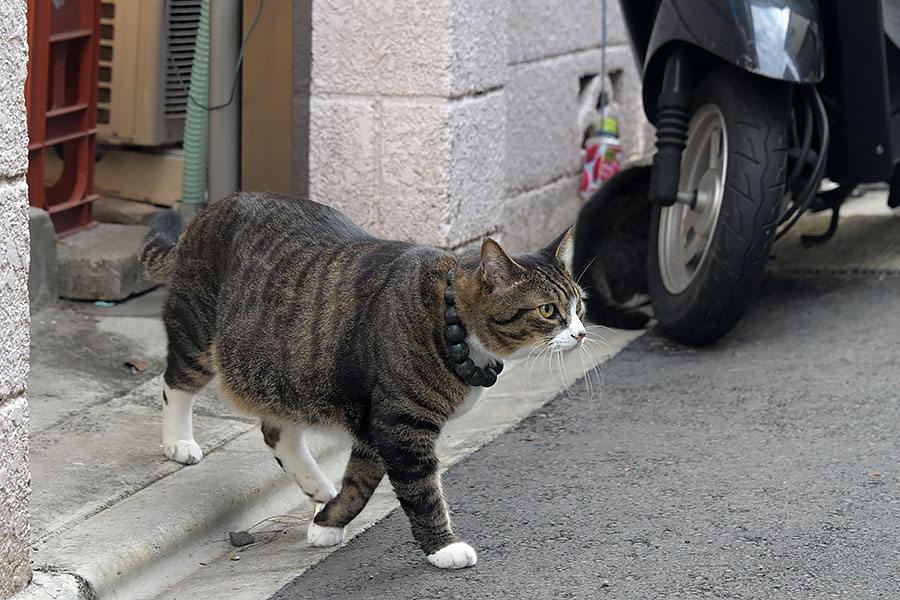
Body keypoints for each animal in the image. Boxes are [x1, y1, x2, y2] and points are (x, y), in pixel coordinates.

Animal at [139, 195, 592, 568]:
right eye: (549, 310)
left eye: (579, 306)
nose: (581, 333)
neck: (451, 321)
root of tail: (213, 207)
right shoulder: (399, 424)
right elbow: (421, 492)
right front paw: (444, 548)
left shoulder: (373, 422)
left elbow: (361, 481)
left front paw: (327, 521)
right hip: (198, 331)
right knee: (175, 382)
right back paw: (179, 441)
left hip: (284, 373)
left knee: (277, 429)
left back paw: (317, 487)